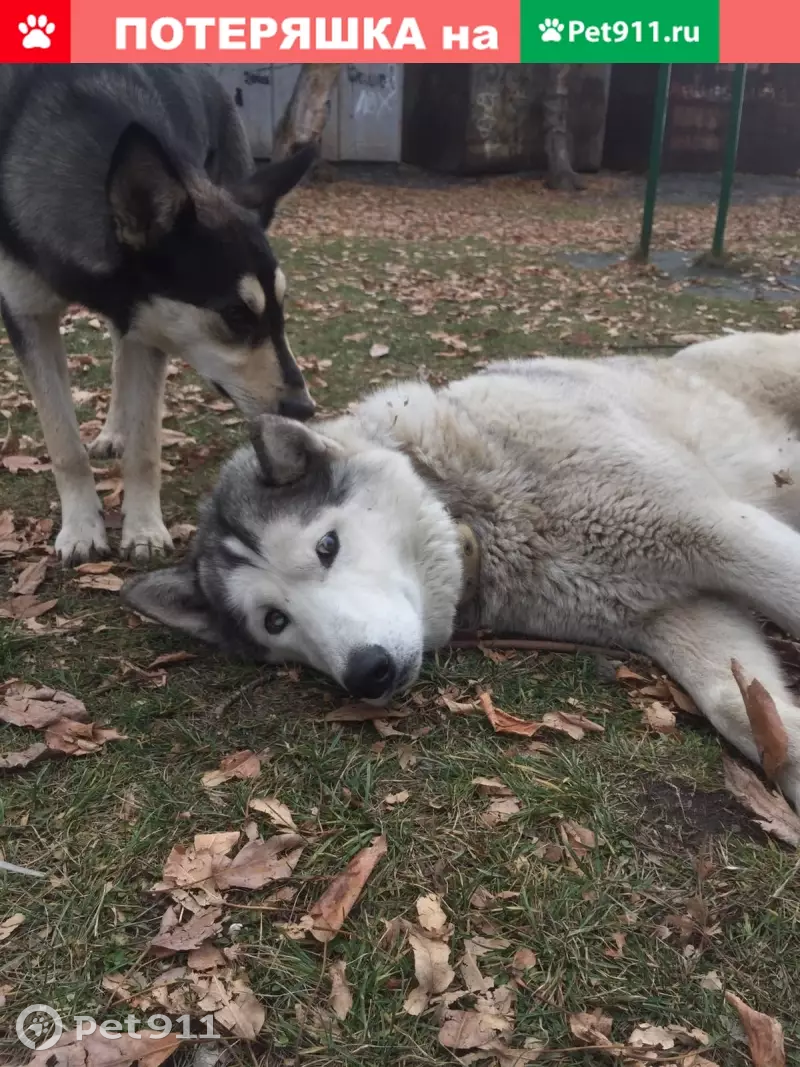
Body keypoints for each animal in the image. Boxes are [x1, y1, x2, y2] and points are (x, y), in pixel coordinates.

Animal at [126, 332, 800, 806]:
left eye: (326, 548)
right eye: (274, 621)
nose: (367, 672)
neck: (475, 512)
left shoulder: (712, 528)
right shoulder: (673, 612)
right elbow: (742, 706)